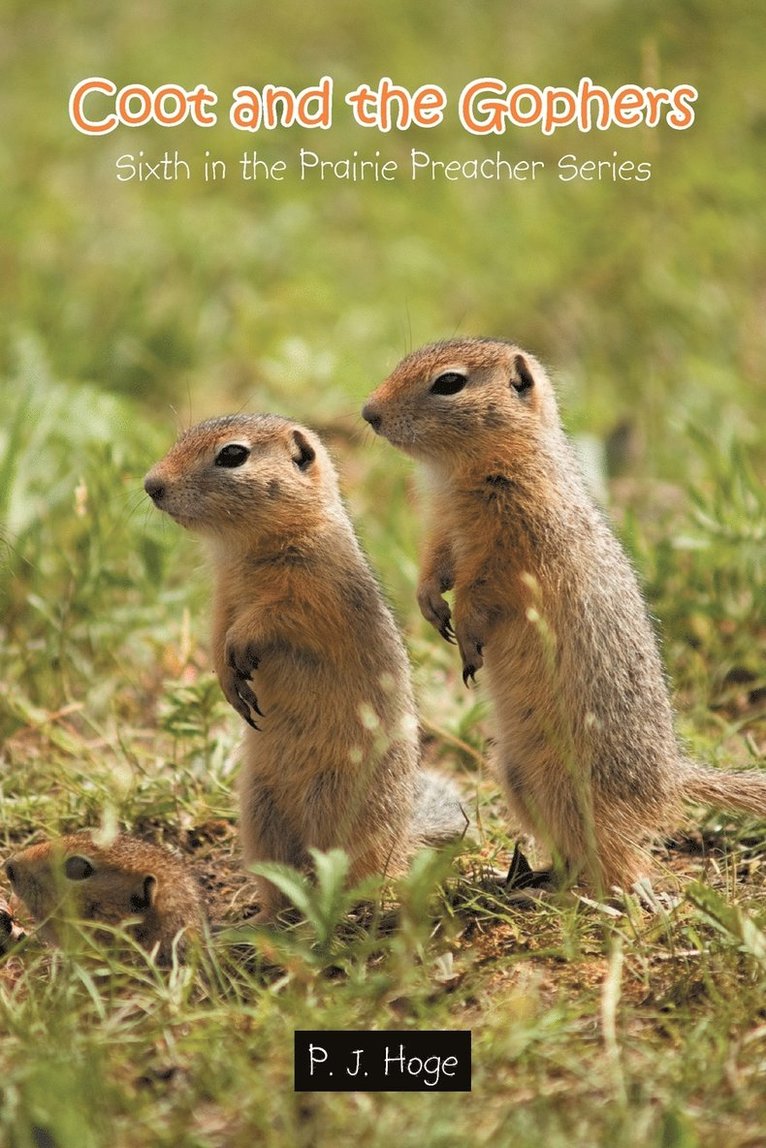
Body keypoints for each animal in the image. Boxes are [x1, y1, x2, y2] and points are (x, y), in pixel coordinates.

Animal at [144, 413, 468, 913]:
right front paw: (228, 680)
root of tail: (402, 838)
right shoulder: (223, 595)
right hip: (260, 816)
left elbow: (274, 616)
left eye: (233, 454)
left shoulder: (313, 589)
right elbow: (217, 634)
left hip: (334, 808)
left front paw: (243, 644)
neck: (247, 549)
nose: (150, 485)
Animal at [362, 335, 766, 890]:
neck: (459, 472)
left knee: (620, 853)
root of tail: (669, 774)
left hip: (576, 786)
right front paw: (429, 605)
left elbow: (482, 589)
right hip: (518, 777)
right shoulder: (442, 527)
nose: (368, 413)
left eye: (449, 382)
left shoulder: (512, 547)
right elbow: (435, 564)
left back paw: (619, 892)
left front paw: (465, 635)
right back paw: (527, 881)